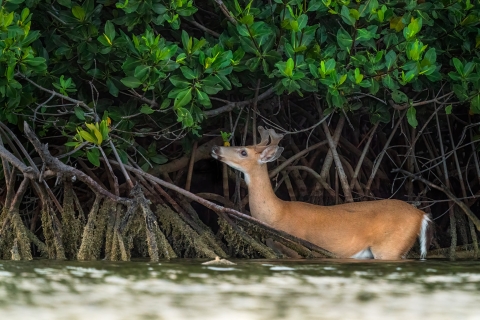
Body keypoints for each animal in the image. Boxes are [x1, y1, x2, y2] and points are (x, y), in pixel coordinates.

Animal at [212, 125, 434, 260]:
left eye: (243, 152)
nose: (215, 148)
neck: (276, 213)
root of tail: (421, 214)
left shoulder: (296, 250)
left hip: (390, 246)